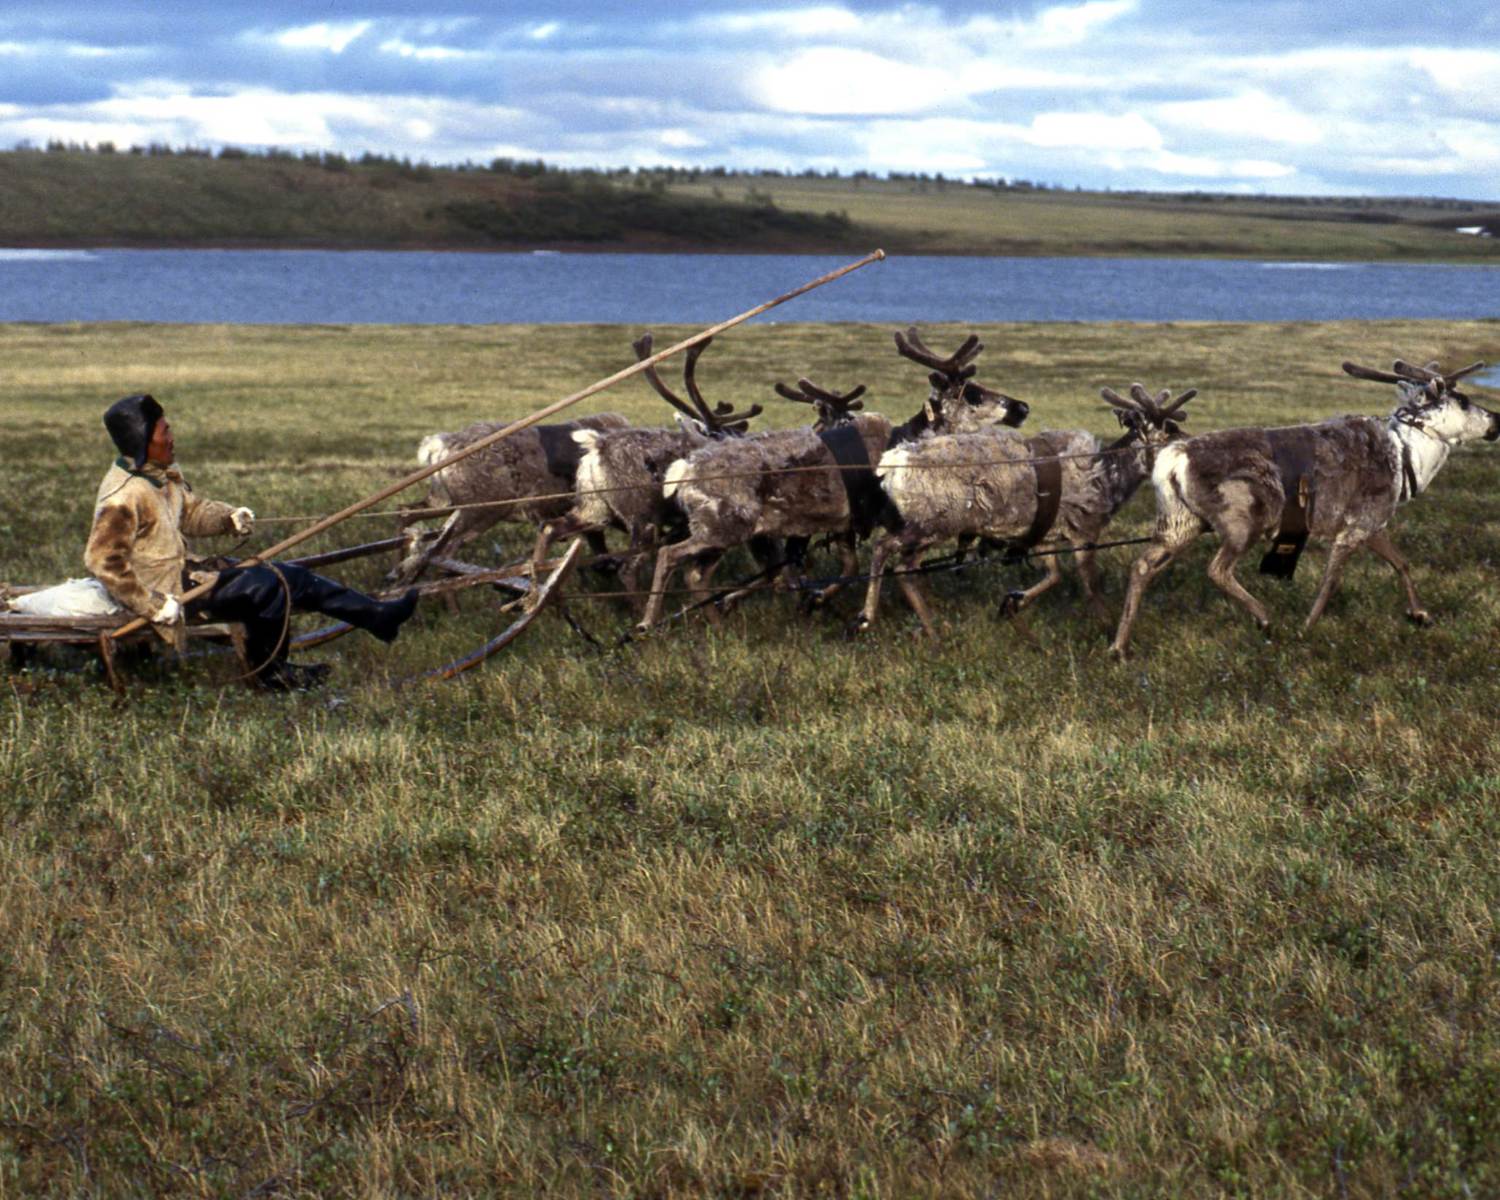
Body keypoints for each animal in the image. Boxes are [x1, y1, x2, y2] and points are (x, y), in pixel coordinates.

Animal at [528, 333, 762, 609]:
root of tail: (598, 446)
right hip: (641, 517)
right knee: (628, 568)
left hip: (594, 508)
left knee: (550, 528)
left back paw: (538, 594)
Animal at [634, 328, 1031, 630]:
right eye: (974, 393)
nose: (1022, 407)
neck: (903, 440)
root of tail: (681, 471)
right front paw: (852, 611)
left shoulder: (845, 523)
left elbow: (851, 568)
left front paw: (818, 600)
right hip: (723, 526)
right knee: (671, 556)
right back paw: (648, 622)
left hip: (730, 531)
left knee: (696, 574)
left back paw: (716, 620)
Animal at [1109, 359, 1500, 658]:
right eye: (1464, 400)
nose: (1496, 420)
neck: (1406, 457)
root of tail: (1172, 458)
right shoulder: (1356, 526)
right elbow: (1331, 580)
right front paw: (1307, 627)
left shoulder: (1372, 525)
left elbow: (1401, 563)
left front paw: (1420, 614)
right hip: (1242, 520)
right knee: (1217, 568)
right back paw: (1265, 619)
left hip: (1179, 522)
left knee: (1142, 566)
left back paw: (1119, 646)